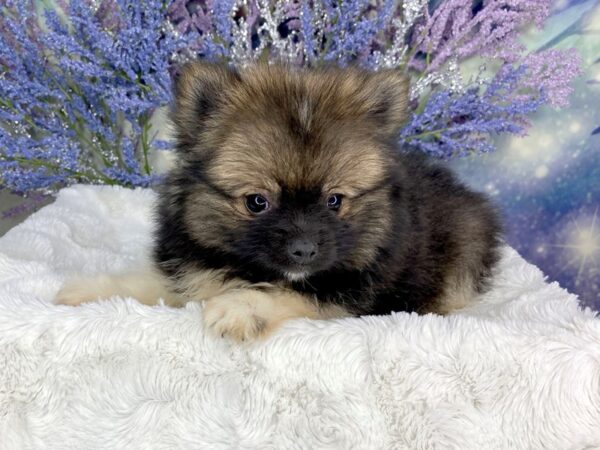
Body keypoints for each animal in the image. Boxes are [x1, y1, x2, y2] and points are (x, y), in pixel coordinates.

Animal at [56, 62, 500, 342]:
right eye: (257, 202)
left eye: (334, 200)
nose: (303, 250)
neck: (244, 267)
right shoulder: (190, 270)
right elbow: (148, 281)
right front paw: (91, 291)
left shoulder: (345, 296)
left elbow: (284, 294)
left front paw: (238, 307)